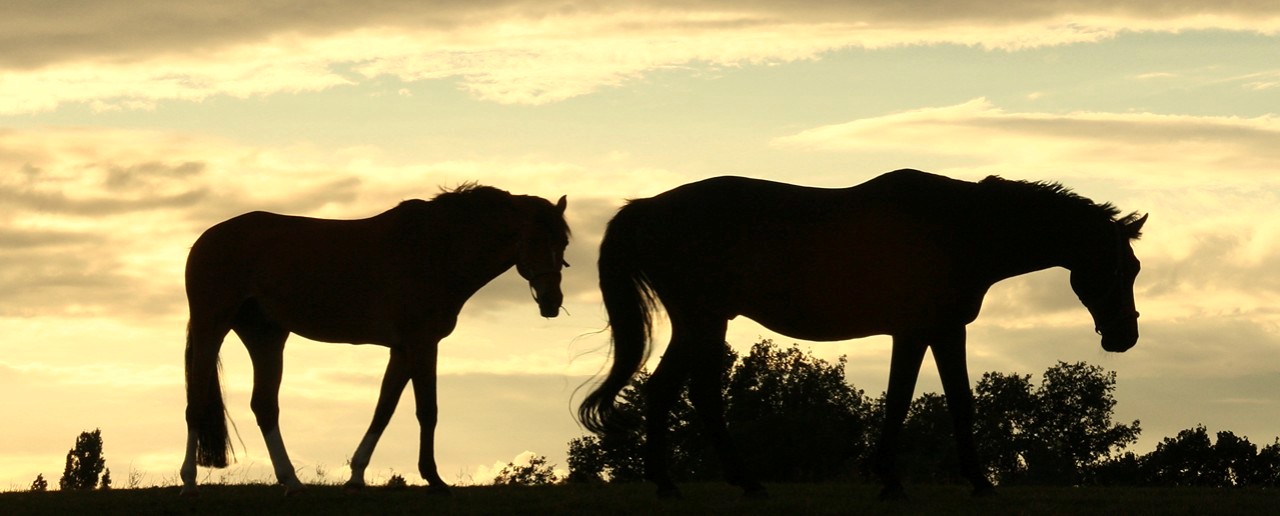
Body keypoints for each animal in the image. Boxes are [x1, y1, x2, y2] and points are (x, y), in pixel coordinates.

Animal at [177, 185, 568, 496]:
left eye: (563, 242)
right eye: (534, 239)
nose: (552, 302)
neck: (435, 249)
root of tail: (206, 239)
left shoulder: (403, 349)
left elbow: (384, 410)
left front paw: (356, 477)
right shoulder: (422, 344)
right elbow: (427, 411)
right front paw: (434, 479)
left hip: (266, 336)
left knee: (264, 406)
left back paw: (292, 482)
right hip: (212, 327)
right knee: (197, 401)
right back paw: (189, 482)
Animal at [581, 170, 1152, 501]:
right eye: (1122, 268)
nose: (1123, 337)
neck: (963, 228)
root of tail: (645, 208)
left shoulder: (930, 331)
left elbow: (935, 400)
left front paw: (935, 478)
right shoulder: (926, 330)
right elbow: (923, 400)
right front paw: (929, 480)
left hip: (705, 322)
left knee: (685, 393)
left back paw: (722, 481)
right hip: (703, 319)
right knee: (676, 392)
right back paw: (684, 482)